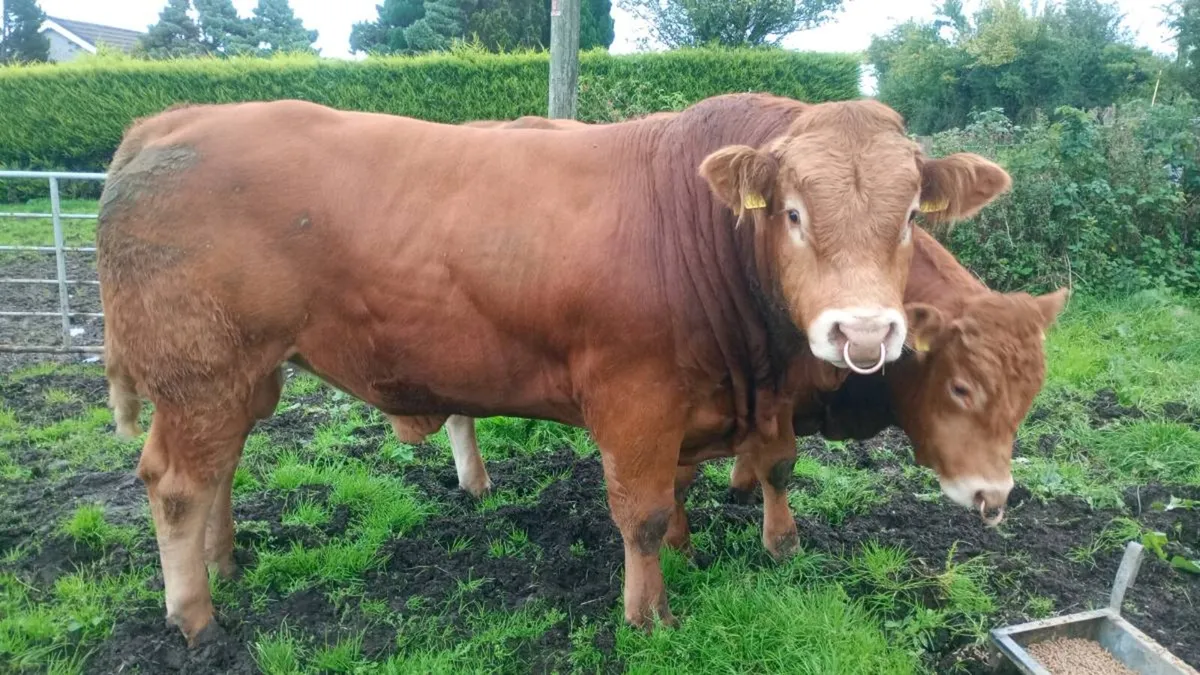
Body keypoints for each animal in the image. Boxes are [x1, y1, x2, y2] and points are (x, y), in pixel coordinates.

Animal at [98, 92, 1012, 644]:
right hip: (199, 370)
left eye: (909, 214)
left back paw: (227, 561)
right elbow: (640, 511)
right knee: (176, 483)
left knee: (221, 468)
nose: (863, 329)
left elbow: (741, 474)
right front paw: (648, 614)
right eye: (791, 212)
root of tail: (170, 122)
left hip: (241, 376)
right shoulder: (634, 397)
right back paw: (195, 614)